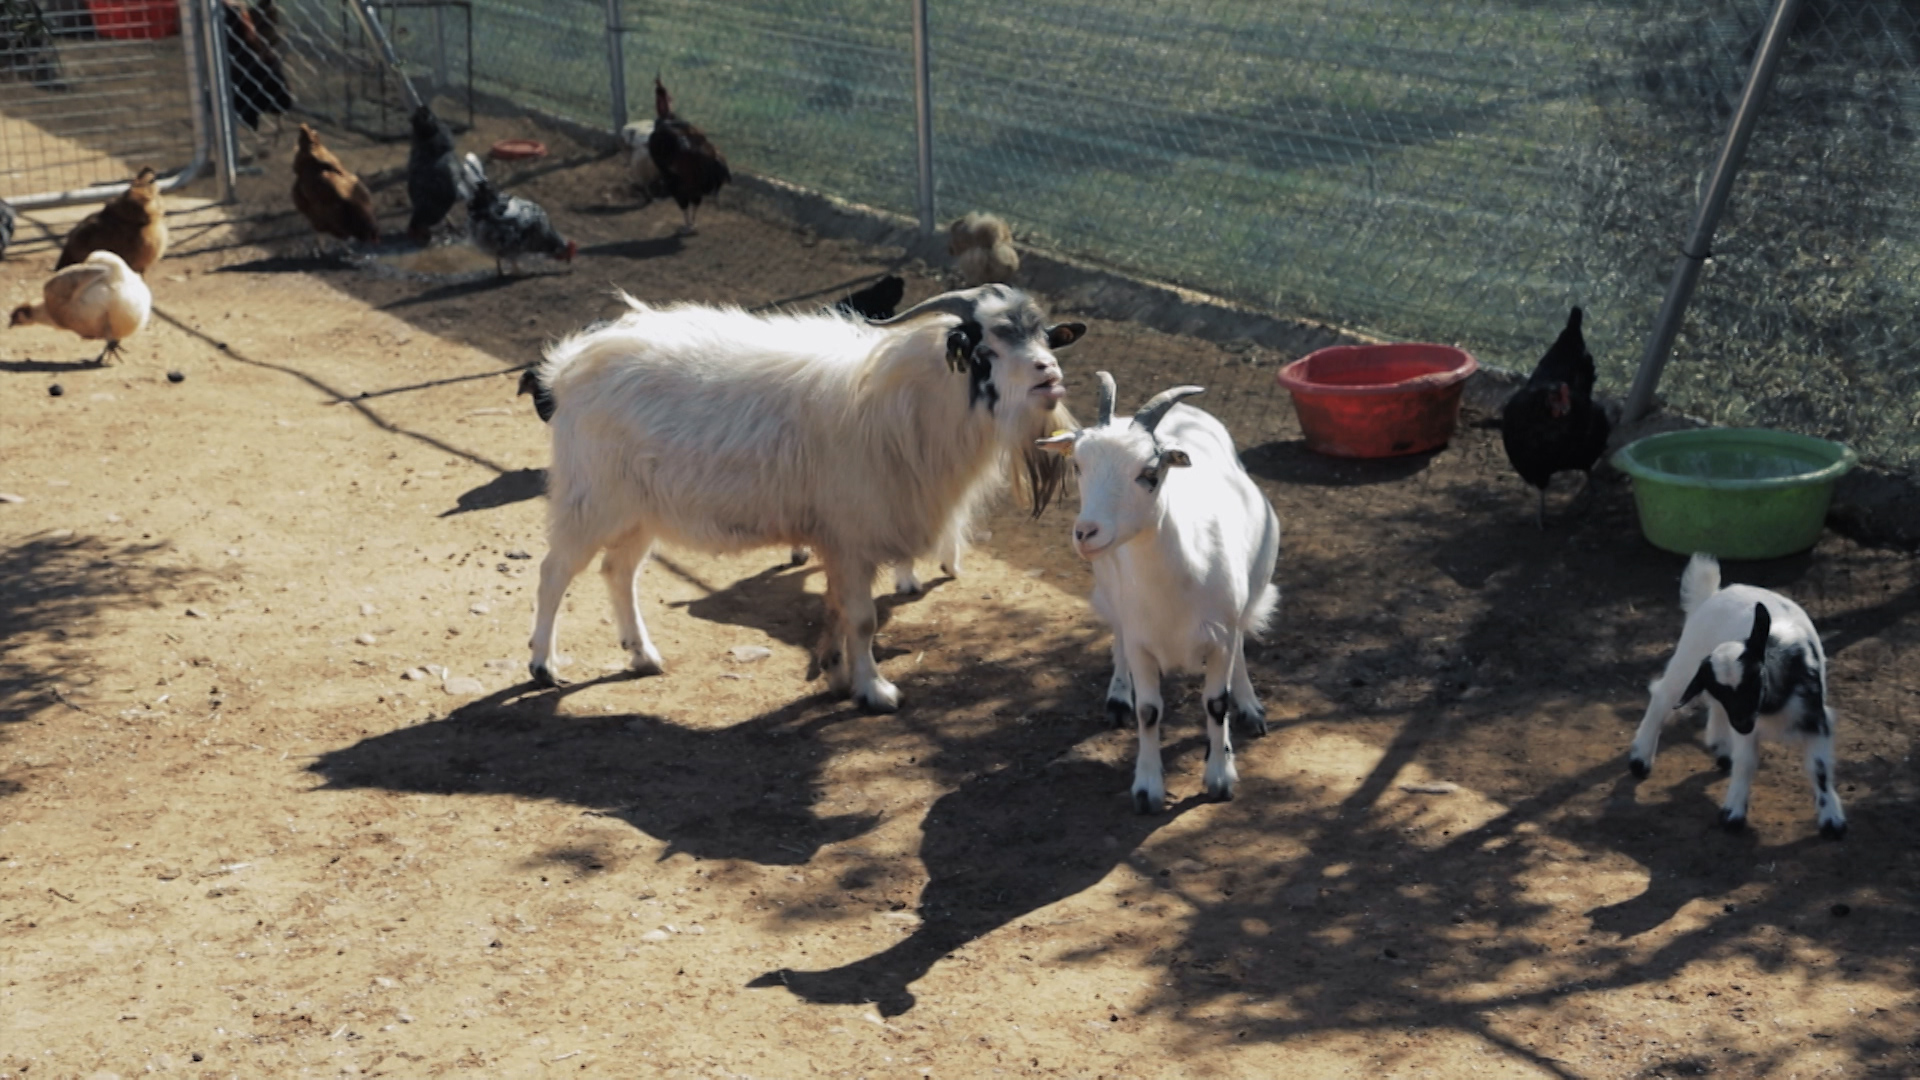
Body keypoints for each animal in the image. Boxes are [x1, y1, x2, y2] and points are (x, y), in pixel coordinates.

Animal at [525, 284, 1083, 712]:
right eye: (985, 350)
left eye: (1043, 337)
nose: (1050, 375)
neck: (908, 403)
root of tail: (570, 365)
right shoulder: (853, 535)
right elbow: (862, 618)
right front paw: (875, 691)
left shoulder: (837, 539)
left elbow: (836, 610)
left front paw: (836, 673)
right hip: (590, 499)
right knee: (555, 572)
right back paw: (543, 665)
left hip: (640, 511)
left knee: (617, 572)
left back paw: (642, 656)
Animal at [1037, 372, 1281, 812]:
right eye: (1077, 465)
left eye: (1149, 471)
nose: (1086, 533)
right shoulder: (1142, 643)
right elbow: (1149, 711)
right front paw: (1147, 788)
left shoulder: (1220, 635)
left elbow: (1215, 703)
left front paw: (1220, 776)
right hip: (1109, 587)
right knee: (1117, 634)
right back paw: (1118, 698)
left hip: (1247, 597)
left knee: (1240, 645)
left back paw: (1249, 707)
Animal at [1628, 553, 1846, 839]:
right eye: (1721, 687)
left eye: (1756, 677)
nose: (1742, 722)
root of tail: (1712, 594)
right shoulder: (1747, 727)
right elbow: (1745, 763)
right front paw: (1733, 814)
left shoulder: (1815, 719)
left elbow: (1819, 768)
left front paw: (1832, 820)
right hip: (1688, 658)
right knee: (1663, 696)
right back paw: (1640, 760)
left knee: (1713, 710)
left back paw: (1720, 748)